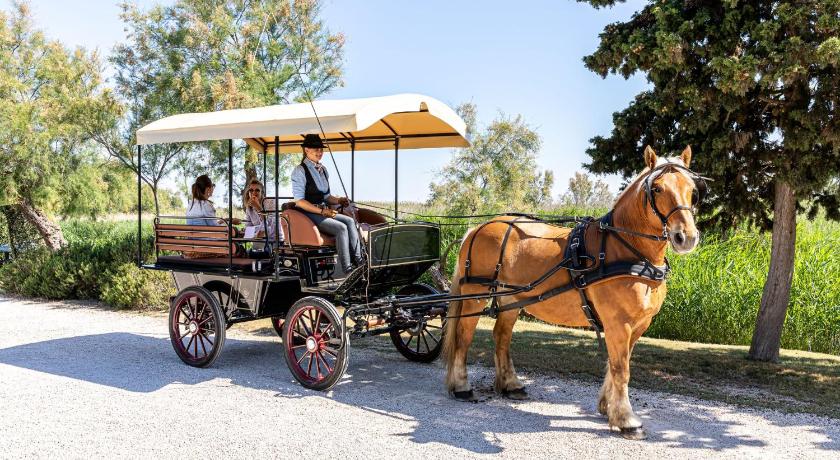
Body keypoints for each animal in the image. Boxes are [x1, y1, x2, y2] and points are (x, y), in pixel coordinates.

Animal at [442, 146, 704, 440]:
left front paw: (608, 407)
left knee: (501, 337)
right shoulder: (618, 323)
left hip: (512, 297)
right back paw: (461, 386)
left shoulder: (638, 325)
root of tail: (477, 228)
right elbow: (621, 369)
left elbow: (616, 364)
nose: (686, 237)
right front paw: (626, 419)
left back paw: (510, 384)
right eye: (657, 189)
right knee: (464, 335)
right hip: (475, 292)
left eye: (692, 190)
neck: (625, 248)